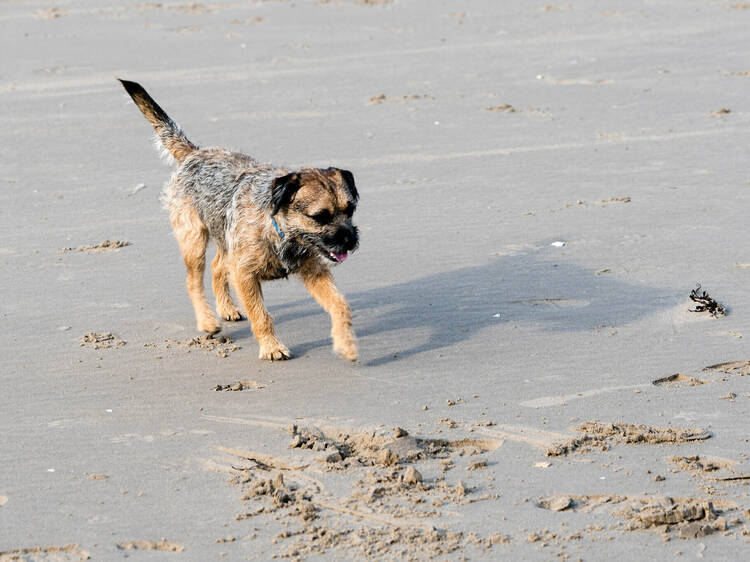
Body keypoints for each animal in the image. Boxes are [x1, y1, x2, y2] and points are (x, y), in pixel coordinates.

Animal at [119, 79, 360, 358]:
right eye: (320, 217)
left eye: (350, 210)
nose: (350, 241)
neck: (278, 229)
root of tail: (194, 153)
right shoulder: (244, 275)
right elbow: (261, 315)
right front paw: (271, 347)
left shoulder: (313, 272)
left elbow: (340, 304)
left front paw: (346, 343)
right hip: (193, 239)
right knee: (194, 280)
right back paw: (207, 320)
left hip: (226, 241)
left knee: (216, 267)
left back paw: (226, 308)